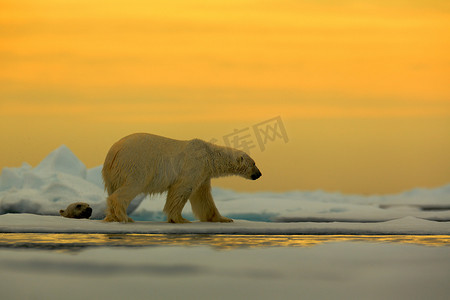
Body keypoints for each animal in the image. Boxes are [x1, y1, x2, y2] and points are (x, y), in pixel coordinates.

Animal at [101, 134, 260, 223]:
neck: (209, 156)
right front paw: (180, 219)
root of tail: (114, 151)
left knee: (113, 189)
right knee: (131, 186)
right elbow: (181, 190)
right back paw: (125, 217)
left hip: (112, 173)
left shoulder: (203, 174)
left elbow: (203, 197)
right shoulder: (192, 166)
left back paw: (112, 217)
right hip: (136, 164)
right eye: (254, 163)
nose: (259, 174)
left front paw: (224, 219)